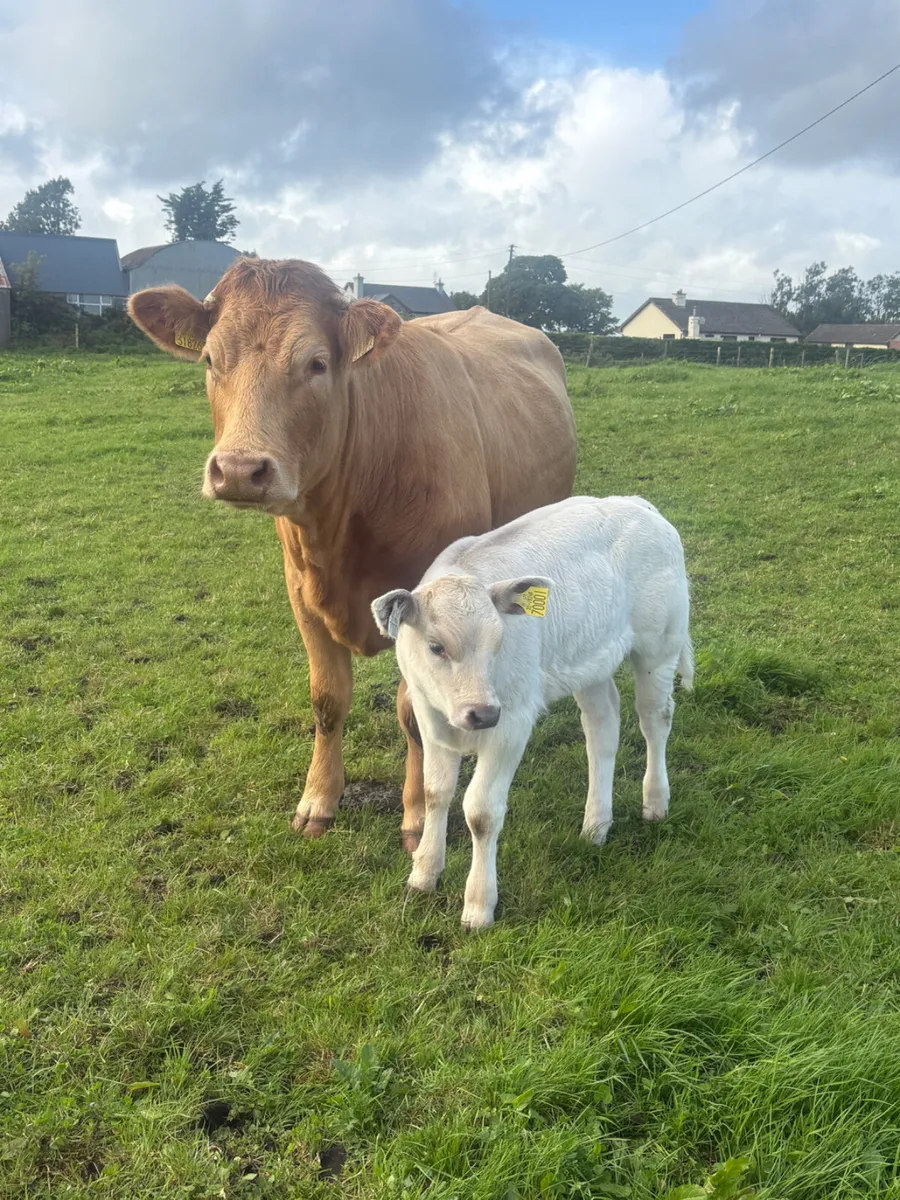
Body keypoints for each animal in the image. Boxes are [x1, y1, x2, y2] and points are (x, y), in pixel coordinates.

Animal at [127, 258, 577, 850]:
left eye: (317, 363)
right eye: (209, 359)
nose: (240, 470)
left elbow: (412, 715)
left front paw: (416, 817)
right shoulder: (300, 592)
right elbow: (327, 700)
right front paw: (318, 800)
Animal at [372, 496, 693, 928]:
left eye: (498, 642)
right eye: (435, 646)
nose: (482, 713)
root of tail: (636, 503)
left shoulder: (512, 722)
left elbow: (481, 812)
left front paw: (479, 905)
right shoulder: (430, 717)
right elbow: (435, 792)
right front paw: (424, 872)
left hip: (659, 645)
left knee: (654, 720)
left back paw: (655, 802)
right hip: (590, 659)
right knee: (602, 728)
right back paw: (596, 824)